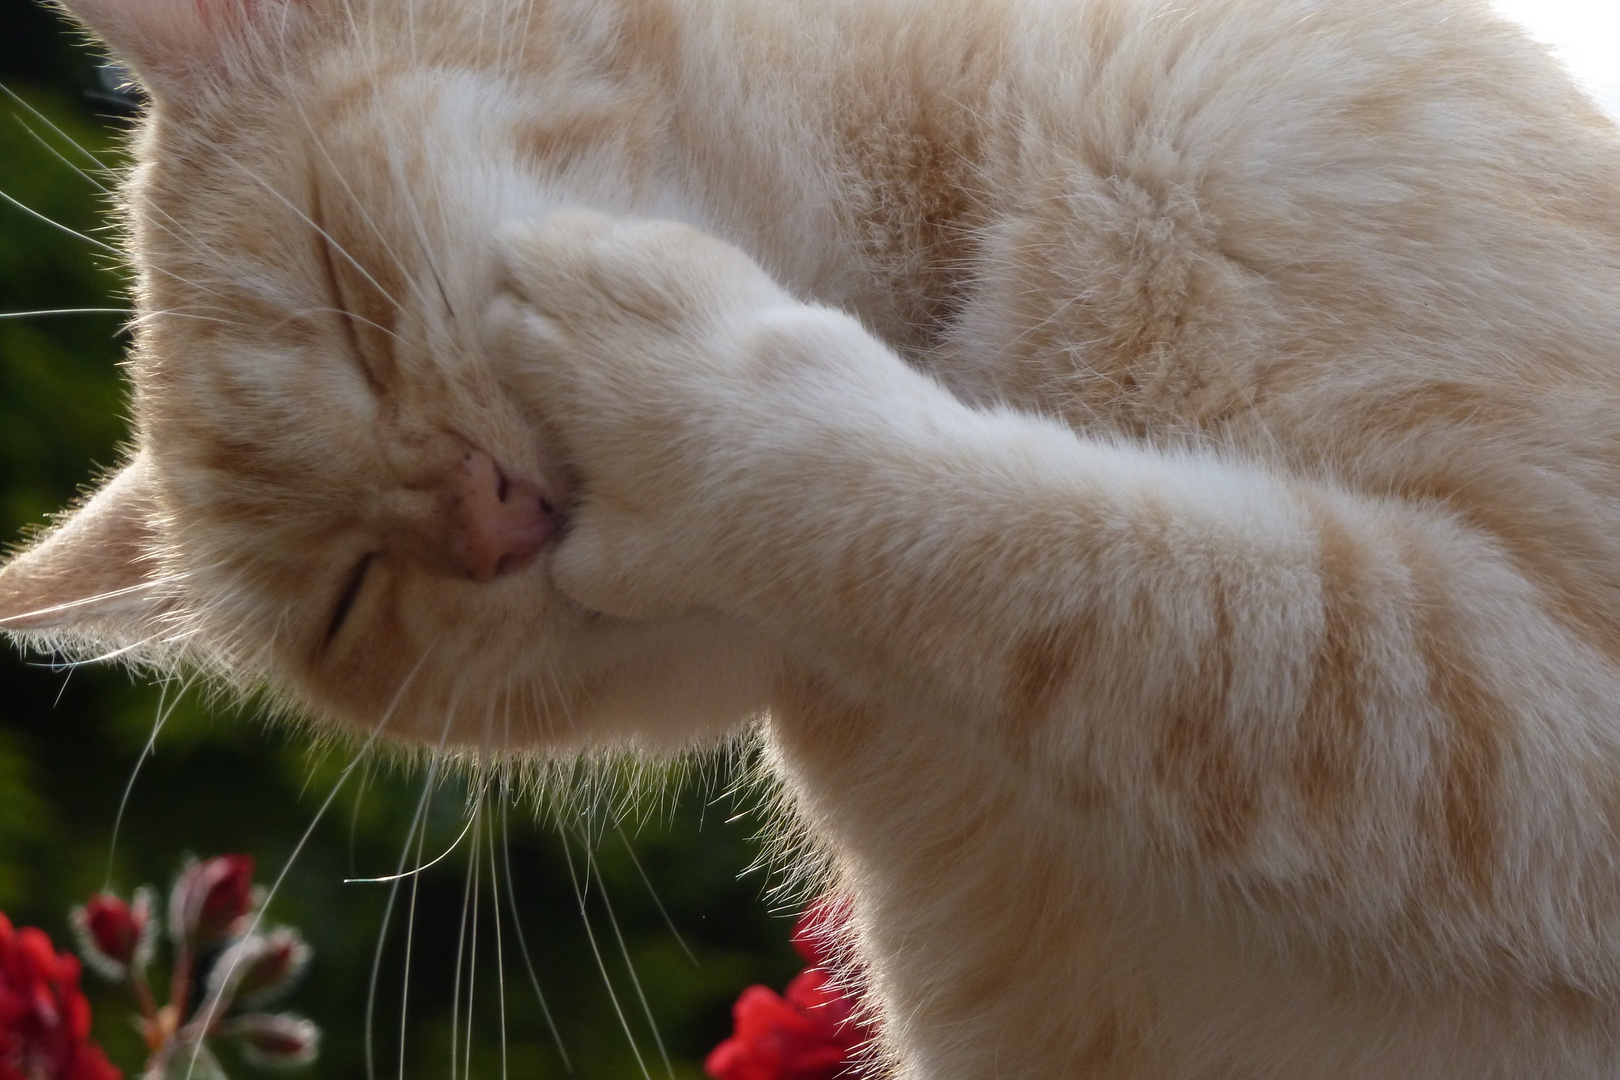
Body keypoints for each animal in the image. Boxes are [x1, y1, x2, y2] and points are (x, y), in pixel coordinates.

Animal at [9, 0, 1620, 1075]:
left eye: (342, 291)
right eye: (352, 599)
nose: (481, 519)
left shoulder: (1547, 710)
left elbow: (1070, 555)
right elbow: (1095, 580)